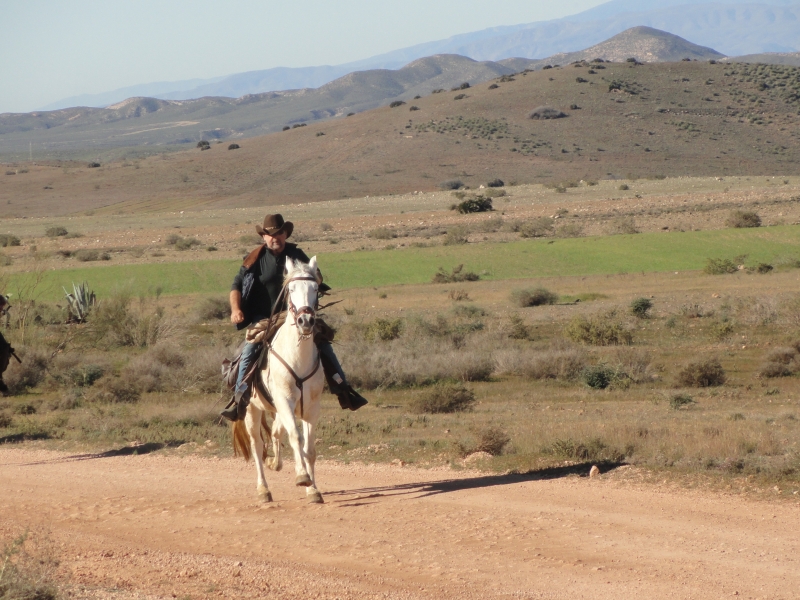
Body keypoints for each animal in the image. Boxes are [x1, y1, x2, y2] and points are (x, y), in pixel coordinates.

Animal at [233, 256, 326, 502]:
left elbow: (309, 450)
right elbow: (295, 436)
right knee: (257, 445)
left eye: (315, 289)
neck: (298, 356)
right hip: (252, 410)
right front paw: (302, 476)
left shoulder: (312, 407)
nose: (305, 320)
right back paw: (263, 489)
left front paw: (313, 489)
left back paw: (275, 463)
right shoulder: (285, 401)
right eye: (291, 289)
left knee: (275, 432)